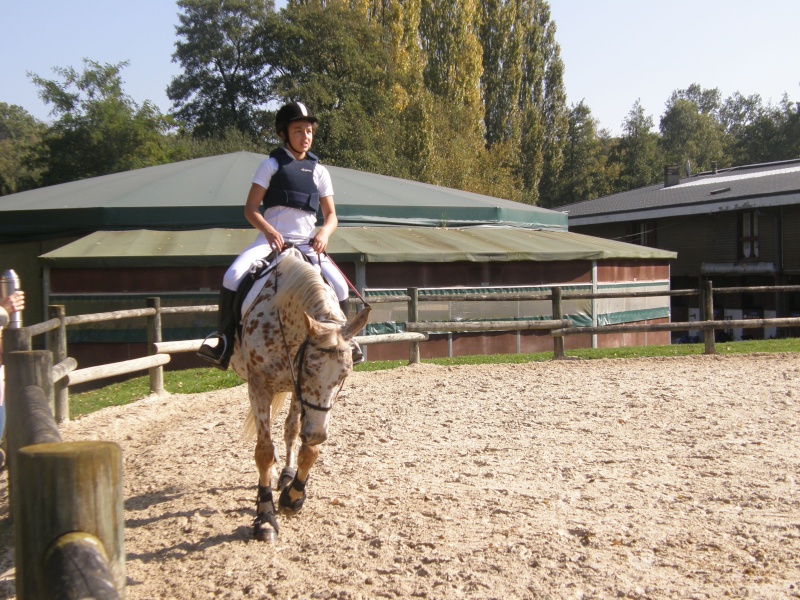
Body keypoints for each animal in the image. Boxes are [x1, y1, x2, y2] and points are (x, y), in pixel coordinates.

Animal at [228, 246, 372, 540]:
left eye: (344, 376)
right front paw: (265, 516)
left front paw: (293, 494)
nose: (316, 434)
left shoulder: (305, 397)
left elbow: (308, 448)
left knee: (291, 429)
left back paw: (285, 472)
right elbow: (263, 451)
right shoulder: (259, 386)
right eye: (307, 368)